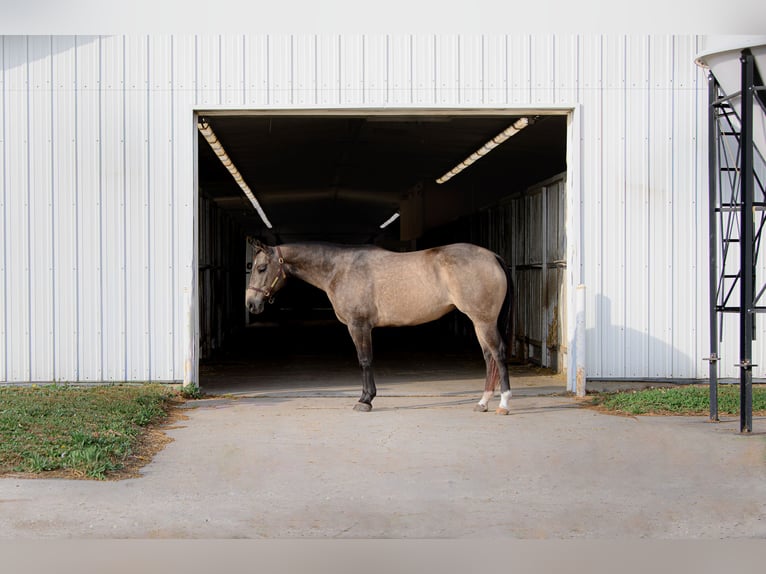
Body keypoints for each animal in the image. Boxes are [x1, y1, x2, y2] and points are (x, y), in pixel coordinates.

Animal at [245, 241, 514, 414]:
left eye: (261, 268)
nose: (251, 304)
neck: (339, 270)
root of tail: (492, 256)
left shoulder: (359, 326)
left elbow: (365, 360)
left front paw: (365, 400)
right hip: (479, 322)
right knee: (489, 357)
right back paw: (482, 403)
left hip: (484, 320)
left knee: (499, 354)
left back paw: (503, 404)